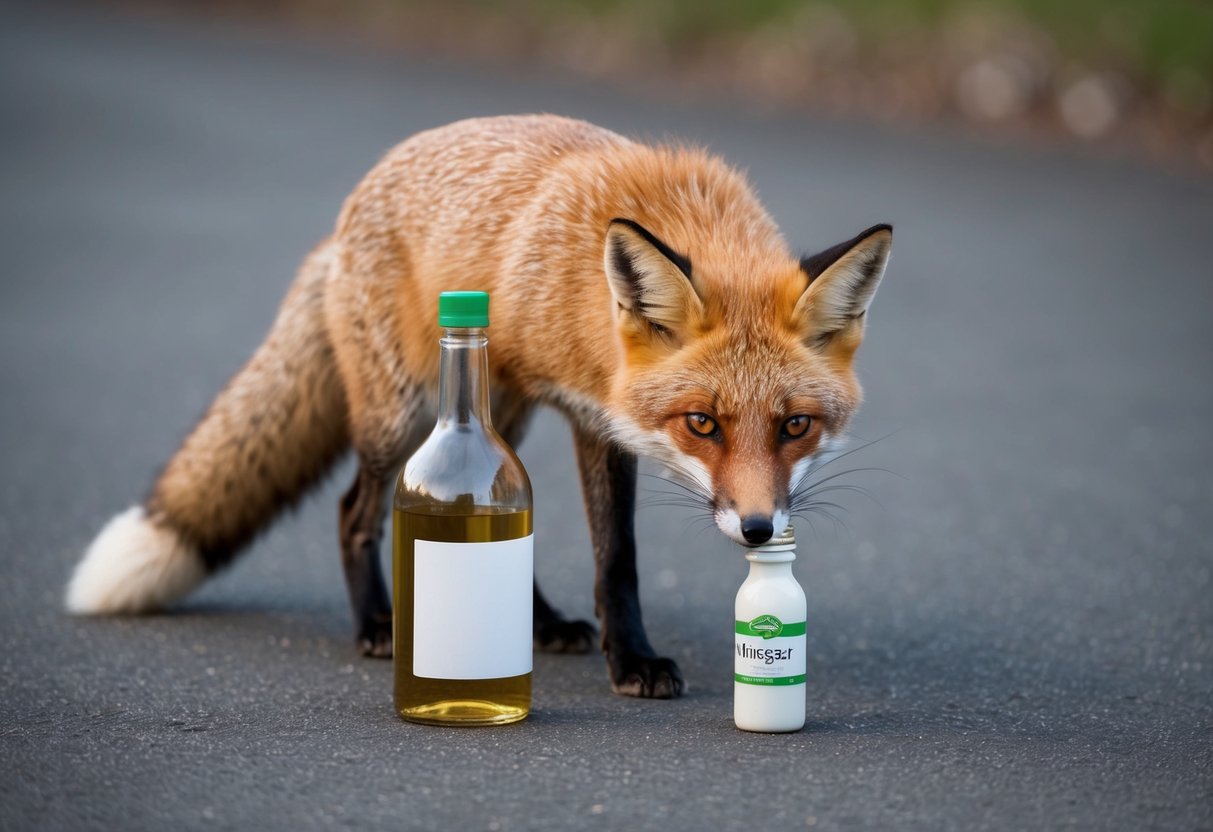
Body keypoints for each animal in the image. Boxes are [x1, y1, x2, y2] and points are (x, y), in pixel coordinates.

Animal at [65, 114, 892, 699]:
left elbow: (600, 550)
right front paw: (631, 661)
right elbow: (617, 557)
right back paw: (377, 623)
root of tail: (340, 222)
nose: (757, 531)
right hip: (400, 412)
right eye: (702, 424)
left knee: (482, 514)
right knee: (352, 511)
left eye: (794, 426)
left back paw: (534, 621)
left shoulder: (596, 417)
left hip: (500, 408)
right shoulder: (595, 417)